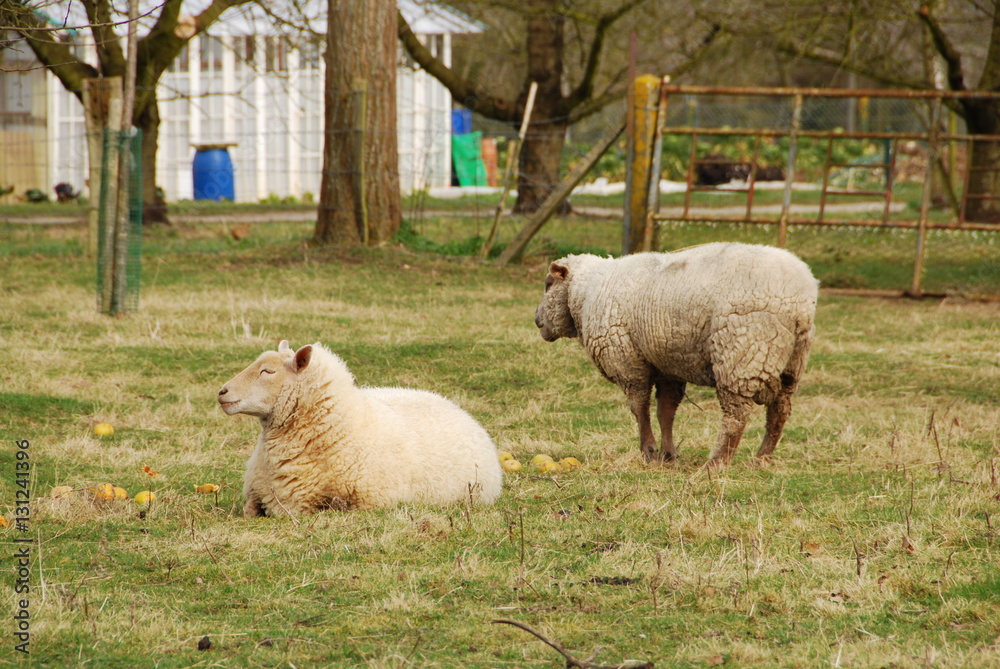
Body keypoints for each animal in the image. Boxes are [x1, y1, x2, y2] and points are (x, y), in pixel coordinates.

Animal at [533, 242, 818, 467]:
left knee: (736, 417)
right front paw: (668, 454)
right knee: (779, 411)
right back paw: (762, 459)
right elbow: (666, 411)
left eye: (548, 284)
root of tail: (800, 302)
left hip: (743, 352)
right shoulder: (667, 366)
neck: (585, 294)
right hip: (792, 362)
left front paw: (648, 451)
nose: (536, 321)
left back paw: (716, 464)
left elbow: (639, 408)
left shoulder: (627, 362)